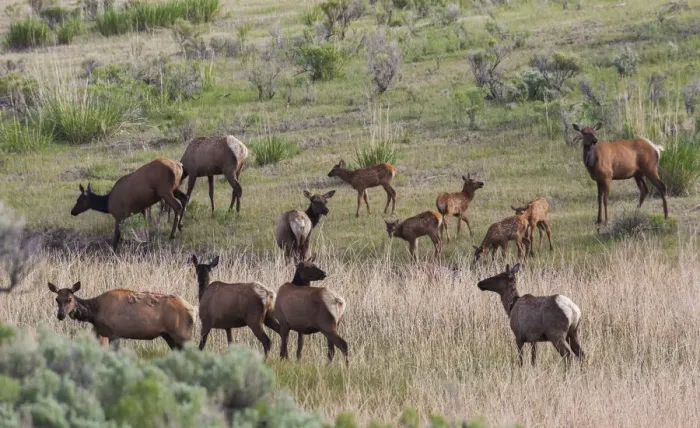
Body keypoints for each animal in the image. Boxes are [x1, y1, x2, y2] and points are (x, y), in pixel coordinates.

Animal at [48, 281, 194, 350]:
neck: (95, 313)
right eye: (57, 299)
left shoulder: (115, 332)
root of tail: (193, 309)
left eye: (69, 299)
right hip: (168, 335)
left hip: (182, 334)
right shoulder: (101, 332)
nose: (60, 315)